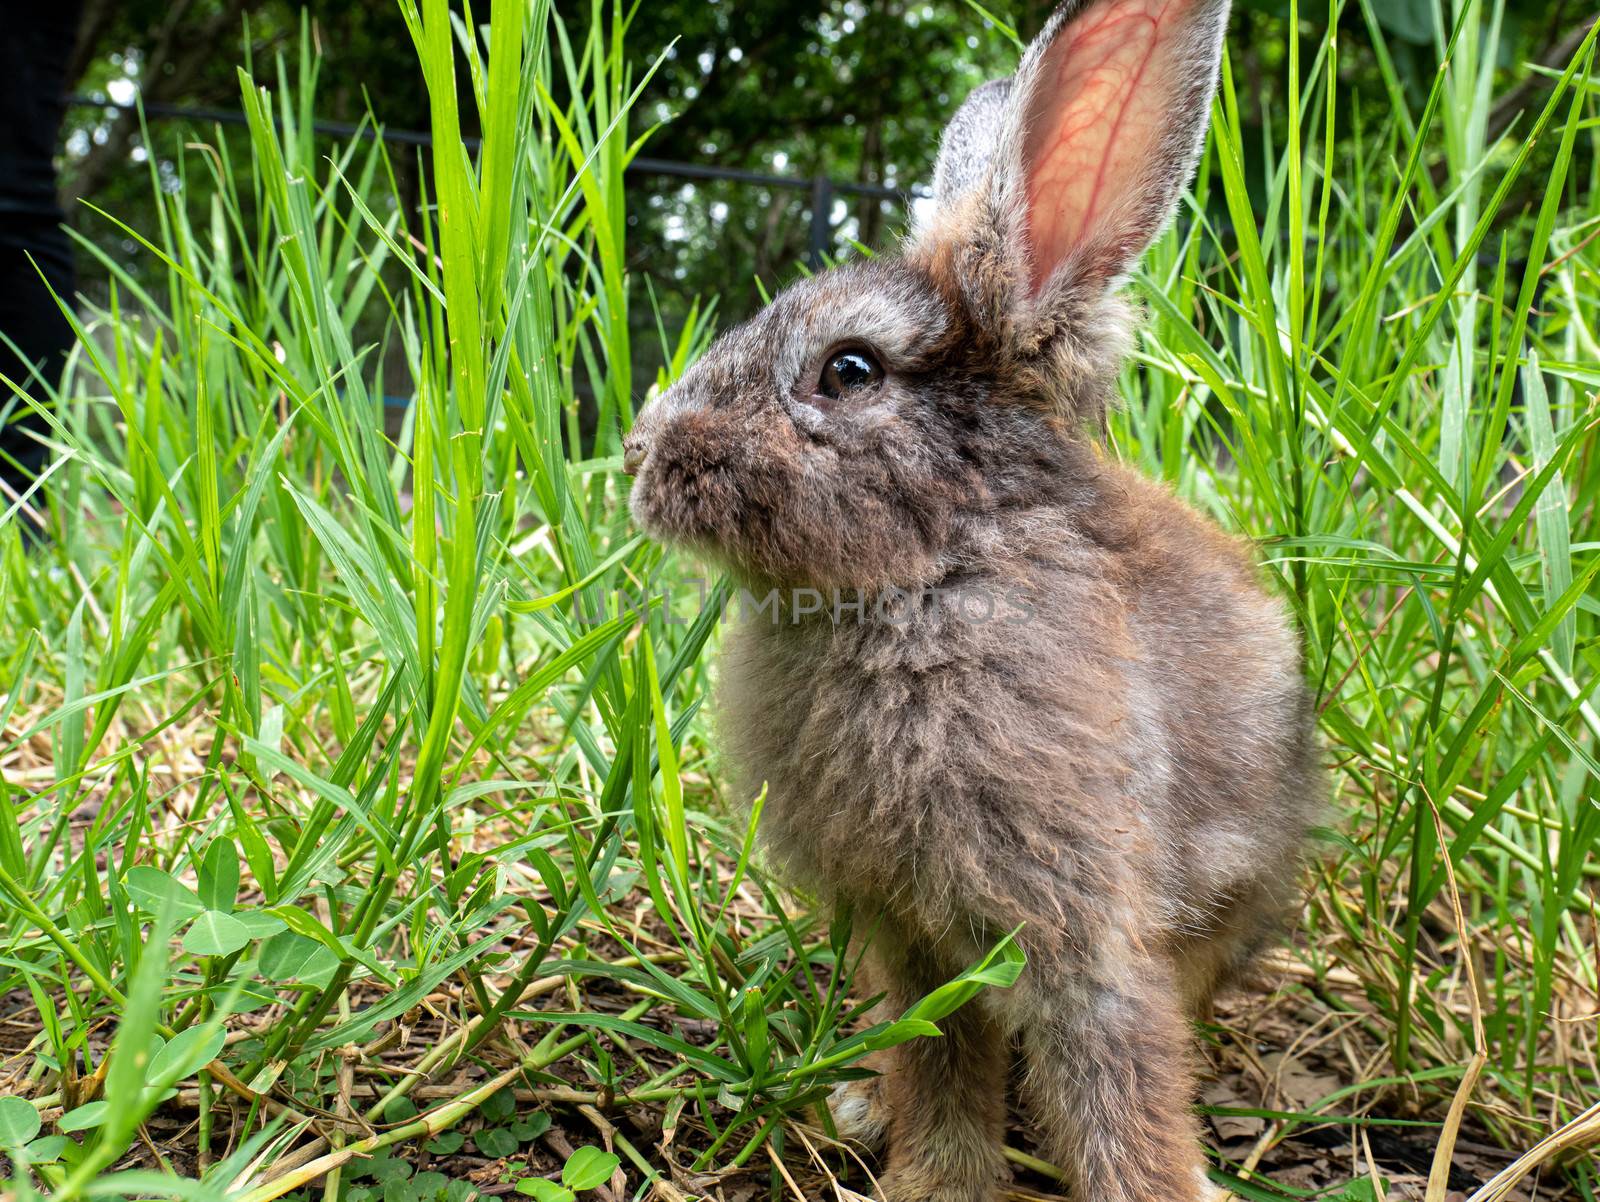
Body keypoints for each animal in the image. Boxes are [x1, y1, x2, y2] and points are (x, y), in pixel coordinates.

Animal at [620, 2, 1312, 1202]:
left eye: (849, 370)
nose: (642, 452)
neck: (924, 579)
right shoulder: (907, 933)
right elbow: (939, 1061)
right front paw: (932, 1176)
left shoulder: (1079, 920)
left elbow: (1113, 1071)